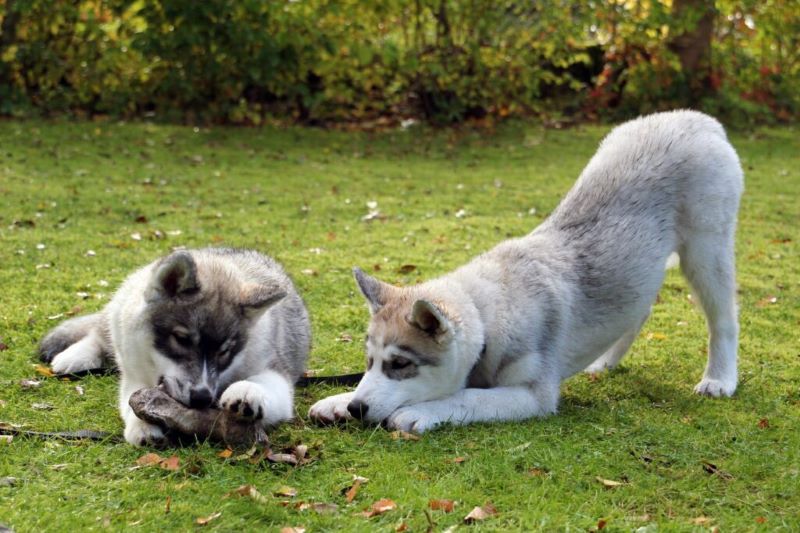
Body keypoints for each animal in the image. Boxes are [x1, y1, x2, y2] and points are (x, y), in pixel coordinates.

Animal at [39, 248, 310, 444]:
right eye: (181, 339)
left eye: (225, 351)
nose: (202, 398)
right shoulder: (135, 372)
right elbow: (132, 397)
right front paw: (142, 425)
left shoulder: (274, 367)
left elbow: (268, 385)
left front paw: (247, 391)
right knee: (99, 329)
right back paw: (76, 355)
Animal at [310, 109, 744, 432]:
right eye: (369, 362)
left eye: (400, 365)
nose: (357, 409)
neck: (488, 314)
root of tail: (698, 119)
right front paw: (338, 400)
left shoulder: (532, 395)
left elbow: (467, 396)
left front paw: (421, 411)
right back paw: (605, 362)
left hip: (706, 250)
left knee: (723, 319)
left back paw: (720, 379)